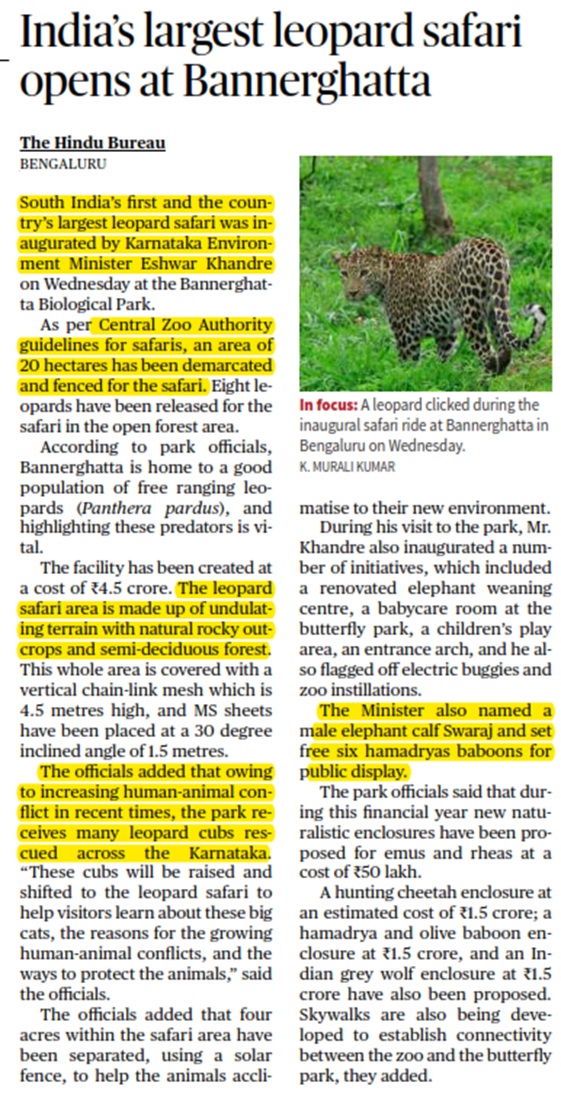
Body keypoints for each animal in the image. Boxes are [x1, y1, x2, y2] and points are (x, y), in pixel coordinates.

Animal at [333, 237, 546, 374]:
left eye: (364, 272)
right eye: (344, 273)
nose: (352, 292)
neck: (386, 280)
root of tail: (489, 245)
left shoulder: (406, 334)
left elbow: (407, 366)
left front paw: (404, 379)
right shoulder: (446, 331)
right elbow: (443, 357)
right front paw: (441, 375)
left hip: (472, 314)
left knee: (487, 353)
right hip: (496, 306)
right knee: (503, 348)